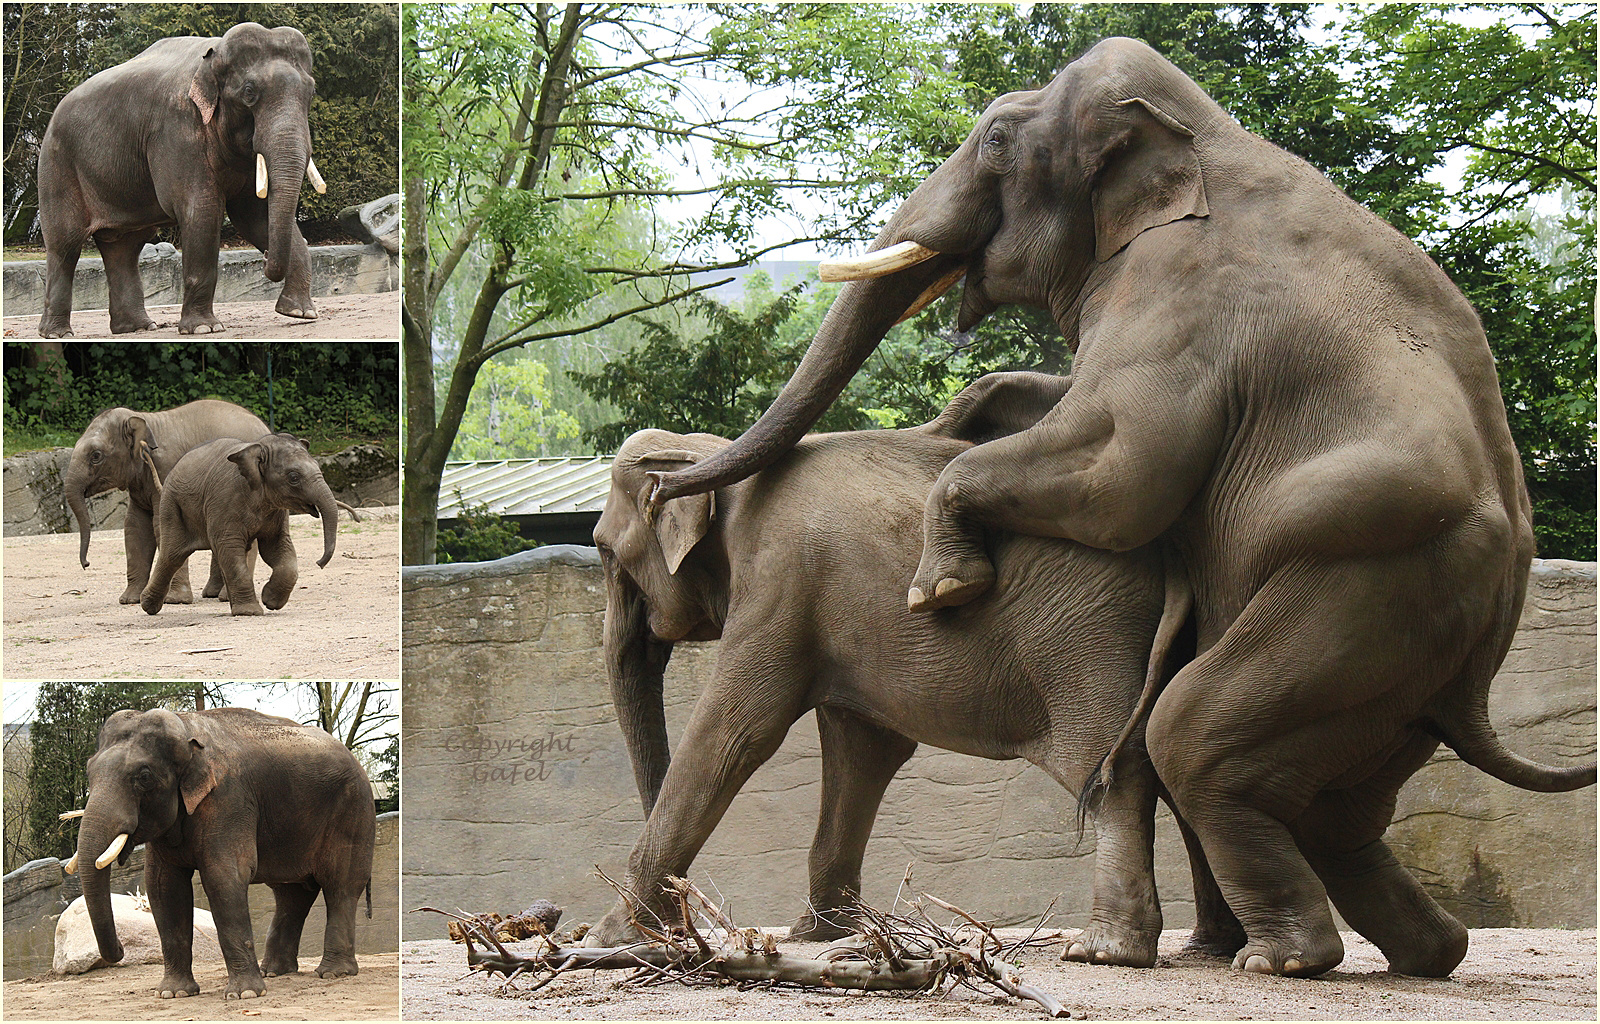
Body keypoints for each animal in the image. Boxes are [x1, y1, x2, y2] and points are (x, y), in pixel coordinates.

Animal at [37, 21, 328, 339]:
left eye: (312, 92)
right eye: (249, 92)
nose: (263, 261)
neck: (213, 54)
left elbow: (255, 215)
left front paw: (300, 313)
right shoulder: (177, 130)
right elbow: (201, 210)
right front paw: (204, 329)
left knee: (124, 247)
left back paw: (138, 327)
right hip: (57, 166)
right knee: (65, 245)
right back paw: (57, 334)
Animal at [66, 707, 374, 998]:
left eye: (144, 777)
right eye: (89, 771)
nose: (120, 950)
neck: (186, 726)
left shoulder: (229, 799)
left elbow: (223, 877)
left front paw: (245, 994)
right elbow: (163, 887)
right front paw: (173, 993)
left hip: (353, 812)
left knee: (340, 885)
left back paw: (333, 973)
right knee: (292, 894)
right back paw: (276, 972)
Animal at [582, 371, 1241, 966]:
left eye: (605, 551)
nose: (685, 919)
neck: (720, 458)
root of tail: (1173, 553)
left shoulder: (779, 580)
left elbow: (734, 735)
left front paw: (606, 940)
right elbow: (863, 751)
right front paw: (821, 934)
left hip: (1093, 639)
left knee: (1112, 770)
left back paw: (1107, 950)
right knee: (1165, 751)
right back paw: (1215, 943)